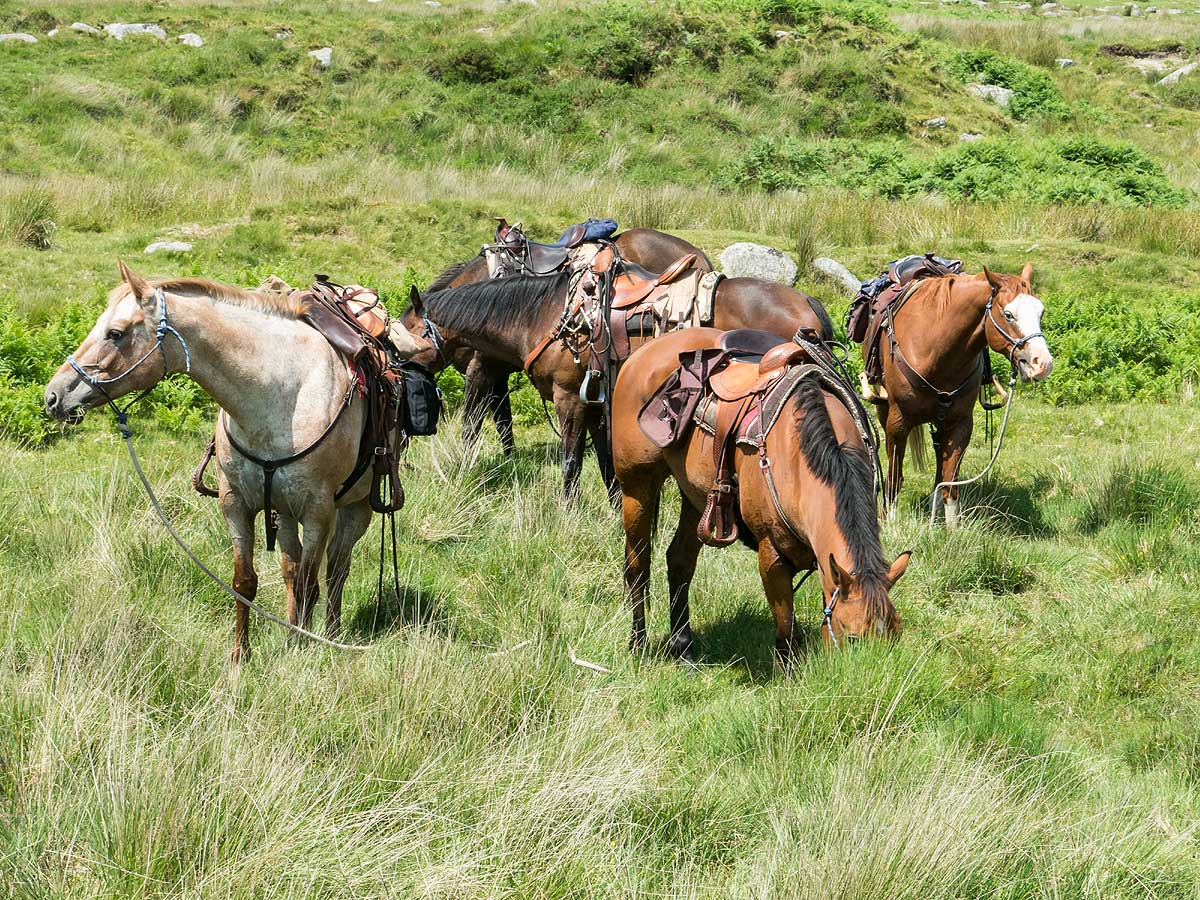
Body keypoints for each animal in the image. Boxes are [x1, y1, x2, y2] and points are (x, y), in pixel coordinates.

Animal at [43, 262, 431, 663]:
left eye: (115, 333)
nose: (53, 396)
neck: (279, 394)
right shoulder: (236, 504)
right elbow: (246, 581)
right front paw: (240, 657)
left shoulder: (317, 510)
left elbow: (311, 583)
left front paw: (305, 652)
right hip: (284, 512)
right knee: (292, 569)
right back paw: (293, 633)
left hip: (356, 507)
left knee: (336, 569)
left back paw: (330, 633)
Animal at [406, 266, 835, 501]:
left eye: (403, 334)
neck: (544, 315)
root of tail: (807, 303)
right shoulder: (598, 403)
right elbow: (606, 464)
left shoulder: (570, 399)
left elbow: (572, 462)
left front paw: (566, 511)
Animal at [611, 327, 910, 666]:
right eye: (853, 637)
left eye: (894, 636)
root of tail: (643, 353)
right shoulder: (772, 556)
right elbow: (786, 633)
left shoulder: (824, 562)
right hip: (636, 487)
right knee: (637, 566)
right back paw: (638, 644)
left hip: (696, 498)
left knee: (680, 562)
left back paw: (684, 648)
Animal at [872, 264, 1054, 525]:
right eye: (1009, 314)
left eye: (1041, 313)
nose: (1043, 364)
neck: (937, 350)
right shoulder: (898, 422)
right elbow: (894, 475)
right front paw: (890, 522)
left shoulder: (961, 424)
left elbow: (950, 484)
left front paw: (952, 529)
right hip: (884, 410)